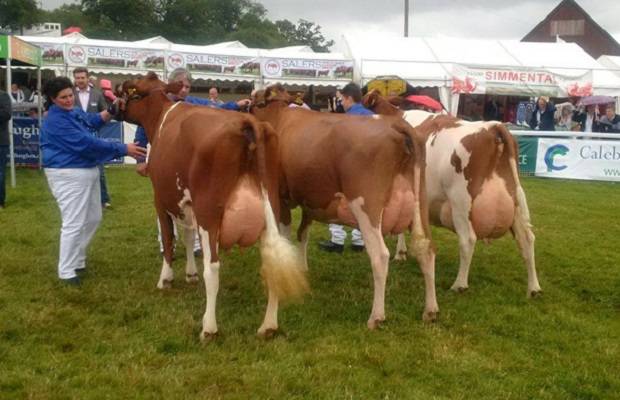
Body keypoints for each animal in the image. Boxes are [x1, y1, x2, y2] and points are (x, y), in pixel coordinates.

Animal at [120, 73, 308, 340]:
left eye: (129, 89)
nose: (113, 105)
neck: (161, 115)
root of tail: (248, 123)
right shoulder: (186, 204)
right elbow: (188, 237)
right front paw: (190, 273)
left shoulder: (161, 199)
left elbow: (169, 240)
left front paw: (166, 279)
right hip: (270, 208)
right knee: (272, 263)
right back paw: (269, 325)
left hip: (210, 213)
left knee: (213, 268)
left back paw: (209, 328)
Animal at [249, 85, 438, 328]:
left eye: (255, 100)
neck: (279, 117)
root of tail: (395, 124)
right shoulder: (311, 201)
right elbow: (303, 234)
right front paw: (302, 269)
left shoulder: (281, 198)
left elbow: (287, 236)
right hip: (420, 203)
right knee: (427, 249)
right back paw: (430, 310)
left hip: (367, 205)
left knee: (380, 255)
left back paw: (376, 316)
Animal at [364, 90, 544, 296]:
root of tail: (492, 126)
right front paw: (402, 253)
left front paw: (400, 253)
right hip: (517, 201)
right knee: (527, 239)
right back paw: (534, 287)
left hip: (461, 201)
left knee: (468, 239)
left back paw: (459, 284)